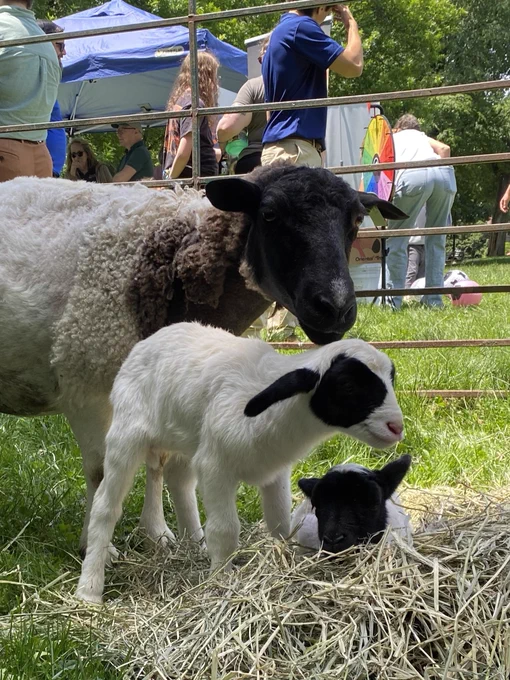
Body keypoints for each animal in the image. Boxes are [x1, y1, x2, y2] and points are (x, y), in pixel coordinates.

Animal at [0, 164, 406, 554]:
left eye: (356, 220)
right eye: (270, 214)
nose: (335, 308)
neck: (170, 258)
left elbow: (167, 465)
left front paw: (173, 535)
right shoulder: (84, 385)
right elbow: (100, 471)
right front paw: (97, 544)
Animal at [76, 321, 404, 603]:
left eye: (391, 378)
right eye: (347, 385)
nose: (396, 427)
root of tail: (150, 340)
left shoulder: (275, 473)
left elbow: (280, 524)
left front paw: (283, 565)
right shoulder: (215, 467)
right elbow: (225, 531)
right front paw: (221, 582)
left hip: (185, 439)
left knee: (179, 480)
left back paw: (196, 545)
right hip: (127, 433)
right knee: (105, 506)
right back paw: (90, 590)